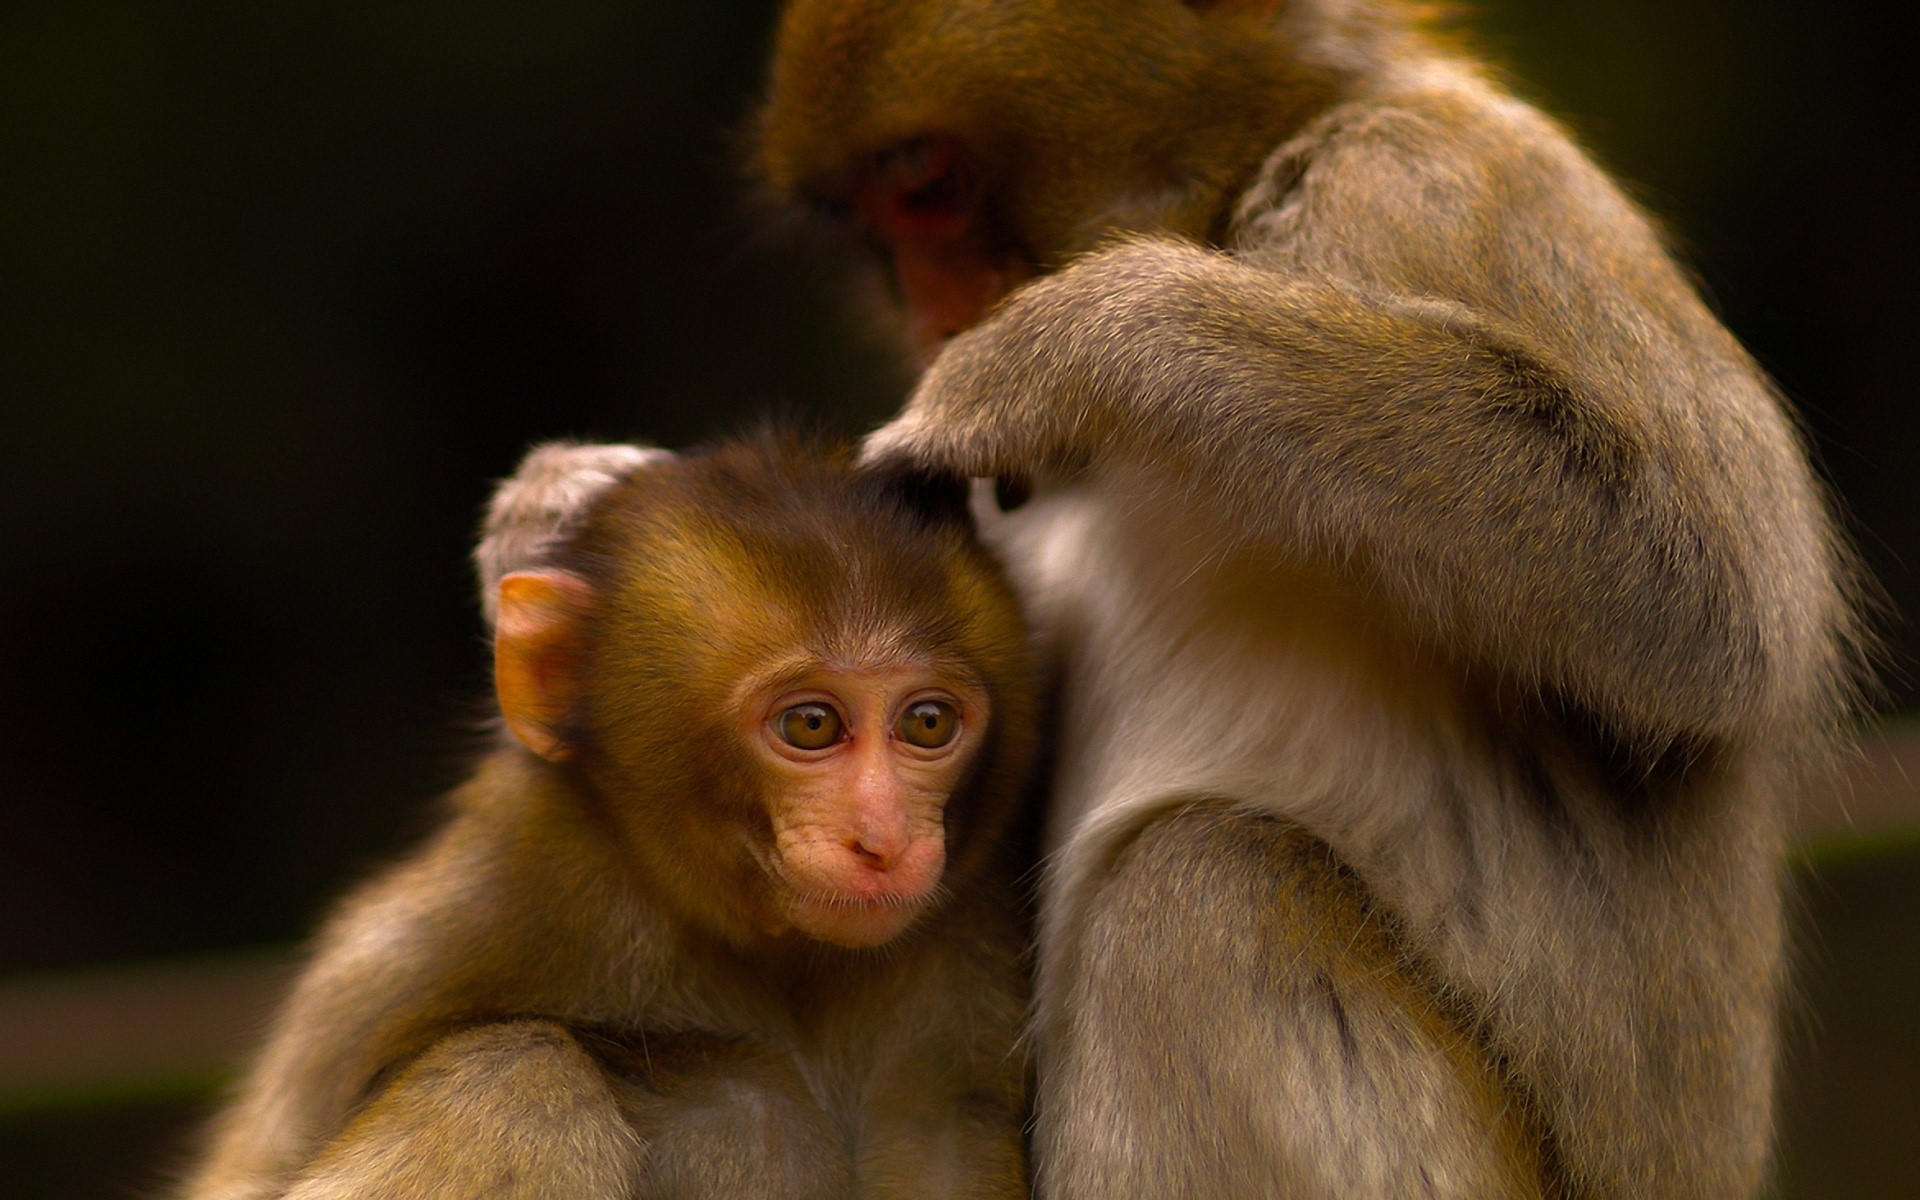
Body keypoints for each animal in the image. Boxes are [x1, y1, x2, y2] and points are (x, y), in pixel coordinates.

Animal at [180, 432, 1039, 1200]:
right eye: (811, 725)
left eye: (927, 722)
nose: (884, 839)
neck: (778, 959)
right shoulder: (450, 922)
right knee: (517, 1078)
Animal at [747, 2, 1870, 1197]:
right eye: (877, 222)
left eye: (928, 186)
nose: (930, 319)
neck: (1254, 187)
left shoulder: (1424, 188)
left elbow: (1717, 602)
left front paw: (1068, 347)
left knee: (1195, 895)